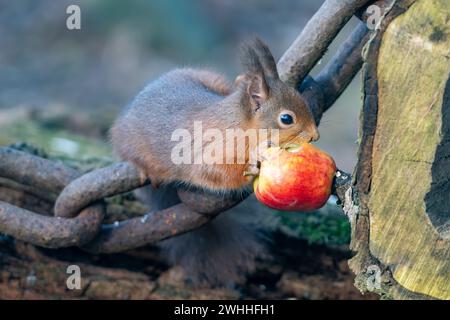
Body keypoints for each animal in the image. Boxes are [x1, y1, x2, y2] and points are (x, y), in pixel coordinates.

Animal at [110, 38, 318, 288]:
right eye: (286, 119)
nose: (314, 135)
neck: (239, 127)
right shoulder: (209, 154)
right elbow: (218, 176)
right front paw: (253, 167)